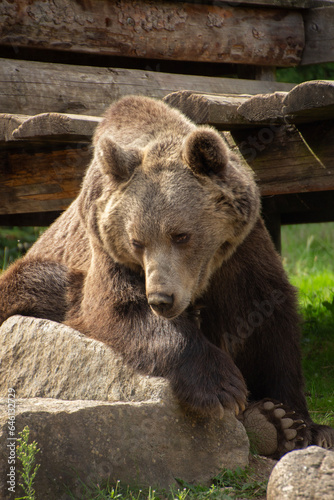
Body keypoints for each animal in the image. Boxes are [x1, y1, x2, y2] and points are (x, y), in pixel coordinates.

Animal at [0, 94, 332, 458]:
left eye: (181, 235)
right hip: (34, 271)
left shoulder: (243, 250)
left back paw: (271, 424)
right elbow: (120, 308)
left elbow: (267, 322)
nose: (162, 298)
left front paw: (297, 423)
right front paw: (220, 386)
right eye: (137, 241)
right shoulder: (107, 250)